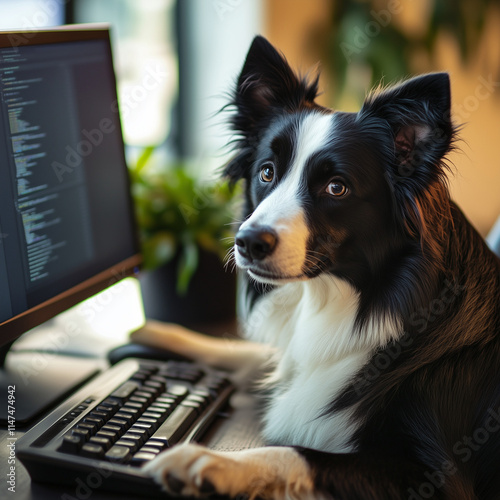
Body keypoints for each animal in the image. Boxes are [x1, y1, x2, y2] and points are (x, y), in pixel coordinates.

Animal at [139, 36, 500, 500]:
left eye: (336, 187)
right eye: (267, 172)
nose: (248, 242)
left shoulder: (437, 479)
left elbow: (298, 453)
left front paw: (208, 462)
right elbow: (253, 354)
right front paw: (158, 333)